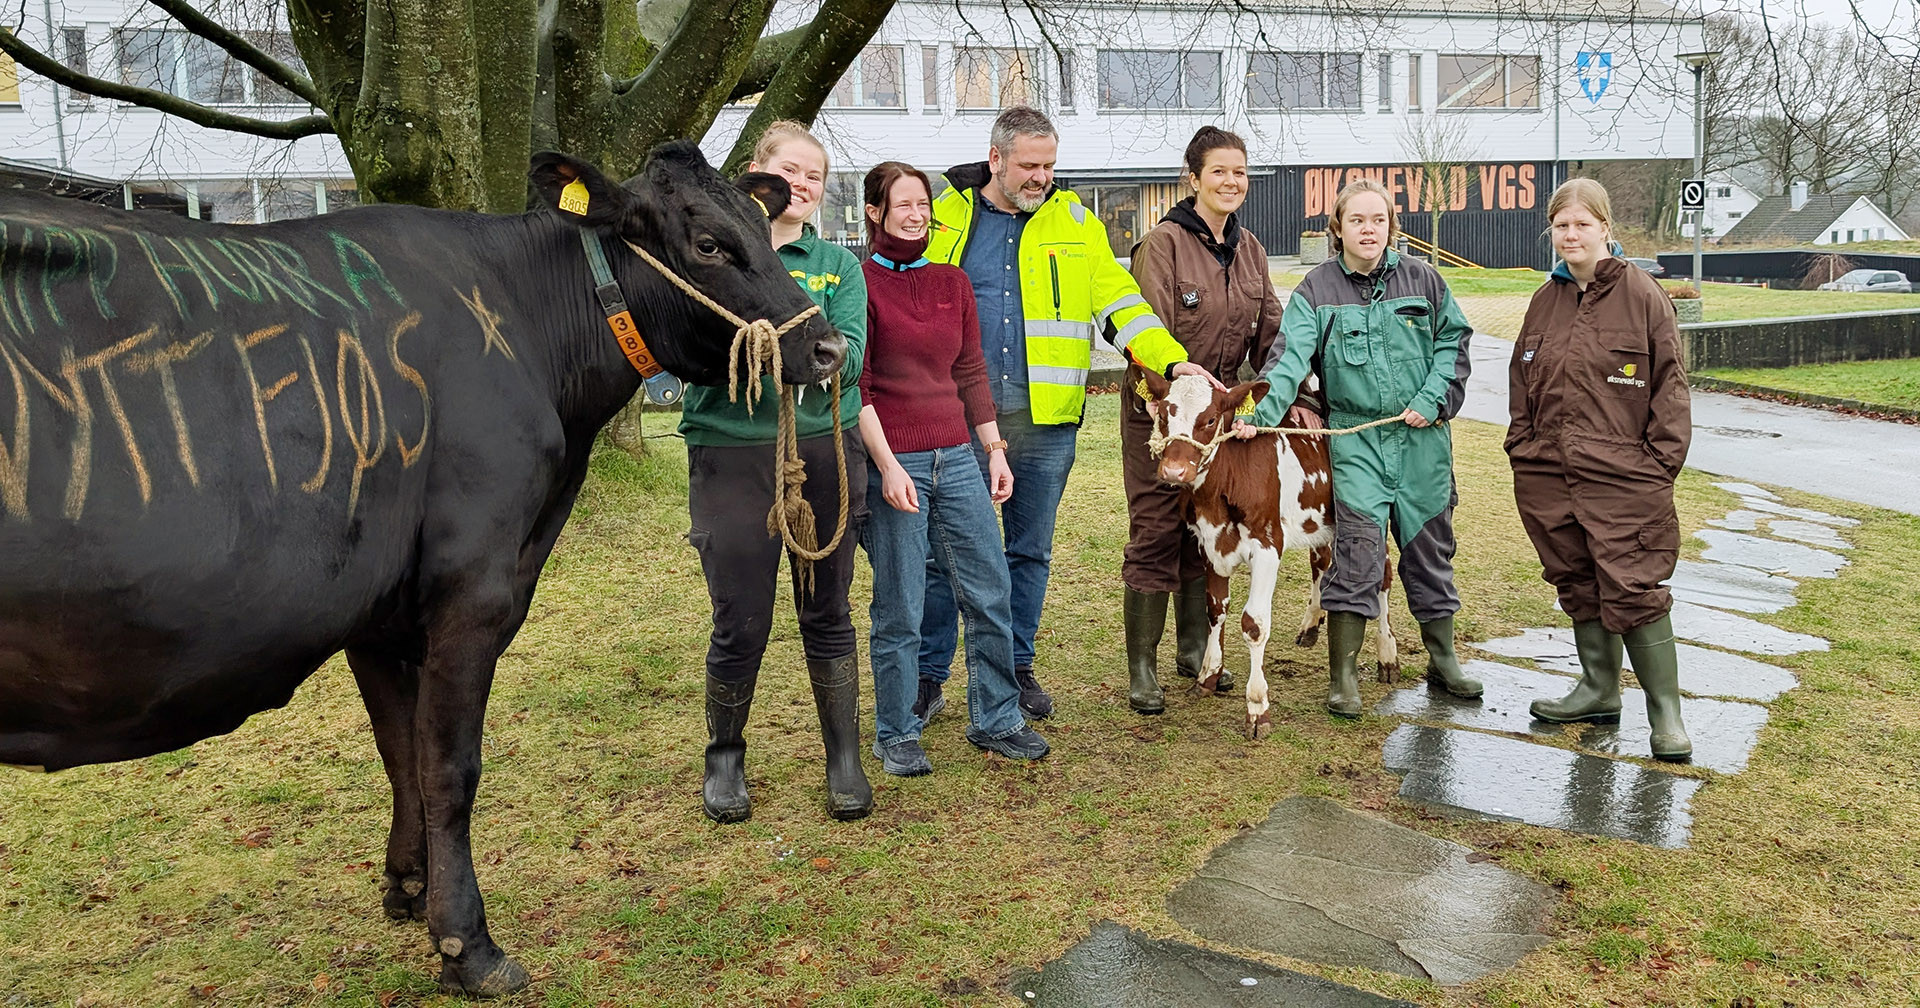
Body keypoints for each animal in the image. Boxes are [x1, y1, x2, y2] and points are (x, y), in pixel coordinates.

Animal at [0, 137, 840, 990]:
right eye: (708, 244)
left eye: (765, 231)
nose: (827, 347)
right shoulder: (472, 590)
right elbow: (448, 766)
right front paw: (468, 945)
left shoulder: (378, 610)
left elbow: (398, 751)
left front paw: (408, 886)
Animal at [1136, 372, 1397, 733]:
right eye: (1163, 414)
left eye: (1211, 419)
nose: (1174, 471)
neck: (1217, 495)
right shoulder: (1208, 543)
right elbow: (1214, 610)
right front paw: (1208, 676)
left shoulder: (1268, 545)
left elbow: (1254, 624)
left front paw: (1257, 707)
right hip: (1321, 521)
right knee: (1321, 562)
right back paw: (1311, 625)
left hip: (1373, 513)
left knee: (1383, 576)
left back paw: (1387, 655)